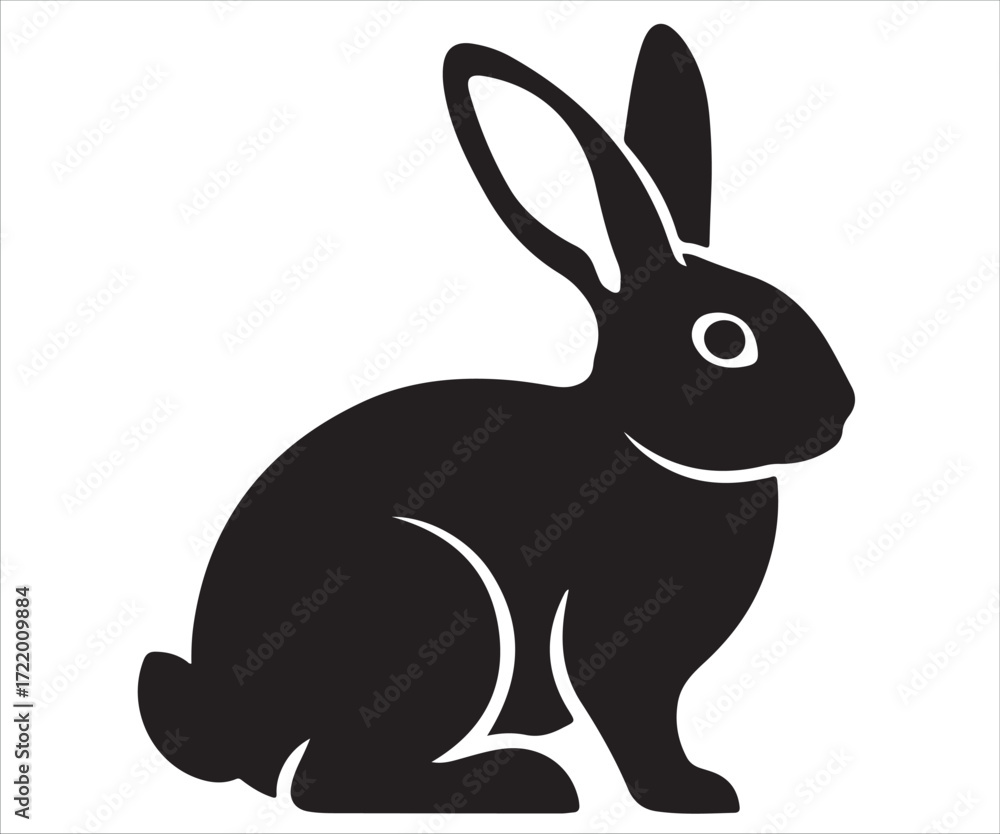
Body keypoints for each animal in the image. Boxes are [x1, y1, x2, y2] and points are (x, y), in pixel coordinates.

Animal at [138, 24, 854, 814]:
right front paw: (690, 793)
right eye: (725, 339)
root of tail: (233, 720)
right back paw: (528, 781)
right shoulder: (615, 634)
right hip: (440, 607)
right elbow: (633, 716)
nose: (840, 413)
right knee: (324, 780)